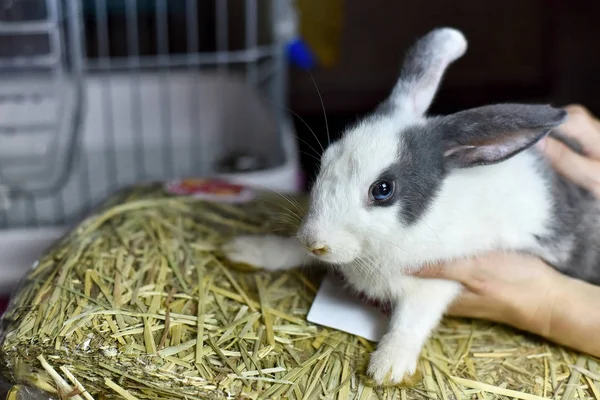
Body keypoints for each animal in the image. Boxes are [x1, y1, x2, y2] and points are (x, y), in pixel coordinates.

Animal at [220, 27, 600, 384]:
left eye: (383, 190)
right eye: (326, 161)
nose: (315, 241)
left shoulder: (437, 281)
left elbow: (410, 321)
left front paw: (387, 369)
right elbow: (288, 250)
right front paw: (245, 250)